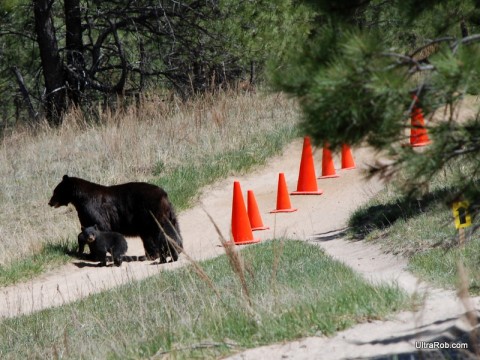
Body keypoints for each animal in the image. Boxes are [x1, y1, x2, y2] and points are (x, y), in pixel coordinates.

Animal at [49, 174, 182, 262]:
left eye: (55, 191)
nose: (49, 202)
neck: (79, 199)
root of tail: (164, 195)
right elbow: (87, 229)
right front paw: (90, 254)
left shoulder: (93, 209)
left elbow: (100, 226)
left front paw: (94, 256)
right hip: (168, 214)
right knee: (173, 229)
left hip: (150, 215)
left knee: (156, 234)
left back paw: (154, 255)